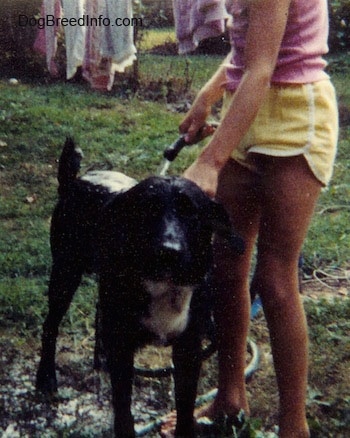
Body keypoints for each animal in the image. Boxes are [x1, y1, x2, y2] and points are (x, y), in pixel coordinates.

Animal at [35, 139, 243, 436]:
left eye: (191, 212)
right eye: (147, 209)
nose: (169, 252)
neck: (164, 286)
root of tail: (74, 181)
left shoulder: (189, 350)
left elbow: (185, 408)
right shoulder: (124, 348)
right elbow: (123, 410)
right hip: (65, 273)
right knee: (50, 325)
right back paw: (46, 377)